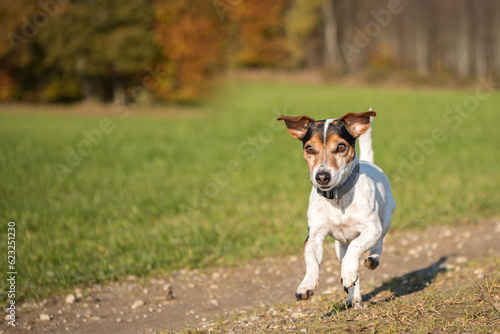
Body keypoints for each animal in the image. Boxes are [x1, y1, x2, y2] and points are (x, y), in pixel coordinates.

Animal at [278, 110, 394, 308]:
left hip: (384, 220)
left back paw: (371, 260)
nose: (322, 176)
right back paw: (353, 298)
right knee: (351, 268)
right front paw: (306, 284)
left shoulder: (371, 229)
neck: (338, 197)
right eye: (309, 148)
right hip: (339, 246)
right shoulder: (314, 236)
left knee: (377, 245)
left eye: (341, 147)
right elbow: (311, 260)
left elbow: (356, 246)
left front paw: (347, 271)